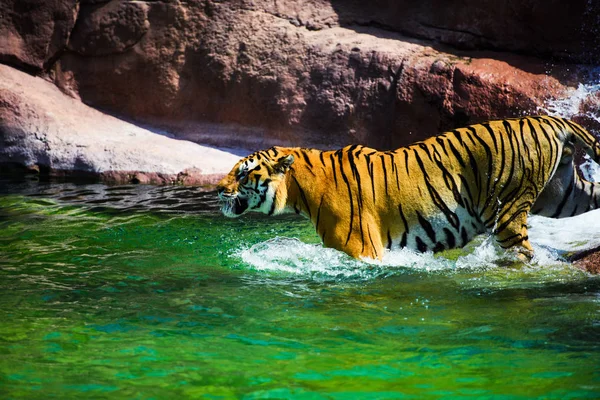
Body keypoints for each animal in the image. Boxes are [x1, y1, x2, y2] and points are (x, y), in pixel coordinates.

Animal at [217, 115, 600, 260]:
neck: (301, 189)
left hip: (508, 209)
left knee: (522, 254)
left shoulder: (363, 251)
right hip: (562, 195)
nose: (218, 189)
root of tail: (550, 119)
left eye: (242, 175)